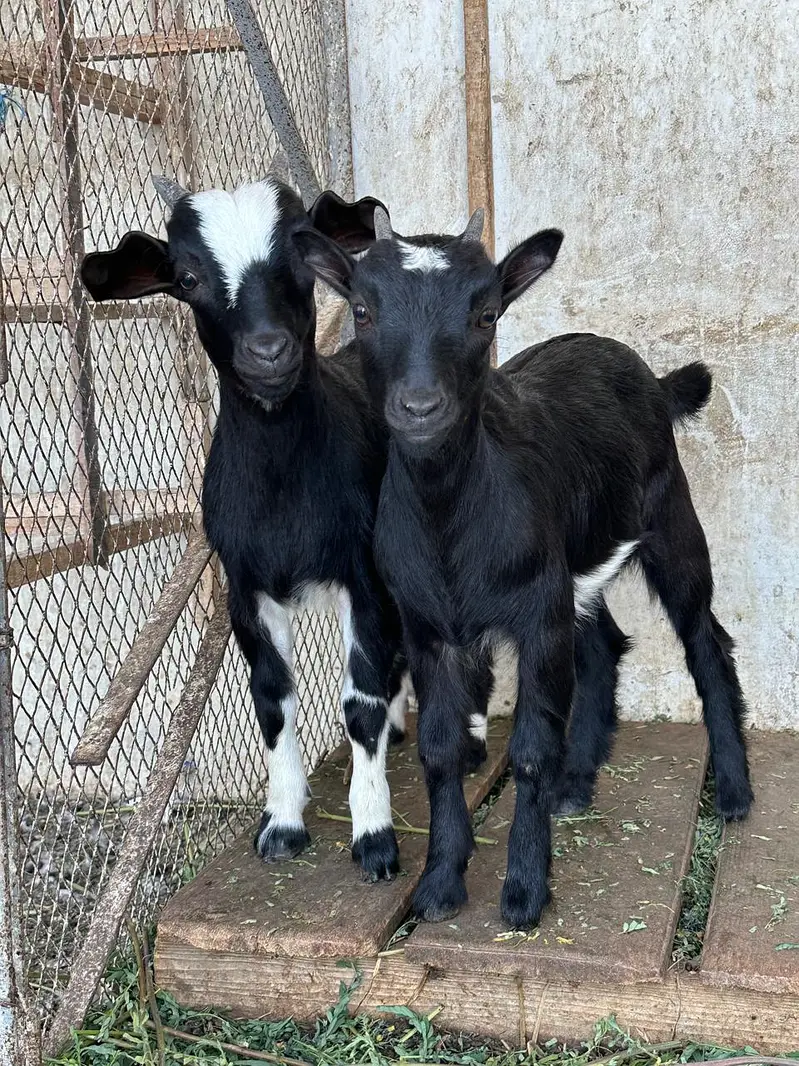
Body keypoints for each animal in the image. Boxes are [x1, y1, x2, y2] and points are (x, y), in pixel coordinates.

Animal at [80, 176, 413, 882]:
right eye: (186, 277)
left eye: (301, 257)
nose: (268, 351)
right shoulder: (244, 588)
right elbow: (271, 698)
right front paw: (282, 824)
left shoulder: (363, 575)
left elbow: (359, 702)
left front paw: (374, 837)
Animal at [295, 207, 753, 928]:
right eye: (362, 311)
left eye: (485, 314)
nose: (420, 407)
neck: (450, 524)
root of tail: (648, 376)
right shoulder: (429, 628)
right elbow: (439, 749)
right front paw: (440, 883)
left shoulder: (537, 613)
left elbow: (531, 751)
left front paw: (524, 892)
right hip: (572, 571)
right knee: (603, 644)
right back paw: (578, 783)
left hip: (670, 518)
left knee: (706, 640)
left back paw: (733, 790)